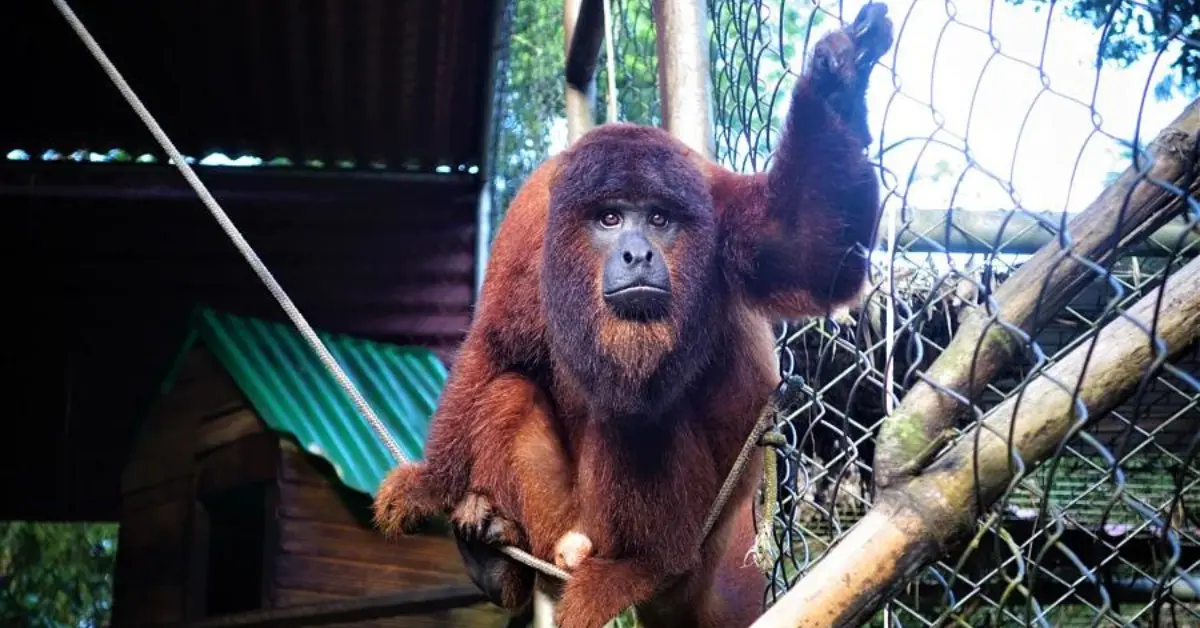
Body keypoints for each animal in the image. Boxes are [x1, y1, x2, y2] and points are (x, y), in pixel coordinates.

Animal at [372, 6, 892, 628]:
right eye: (610, 219)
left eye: (661, 219)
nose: (638, 254)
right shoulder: (533, 216)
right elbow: (496, 342)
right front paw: (431, 482)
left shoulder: (710, 195)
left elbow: (811, 254)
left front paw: (838, 80)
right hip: (569, 518)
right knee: (509, 391)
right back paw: (497, 556)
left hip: (698, 539)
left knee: (640, 411)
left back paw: (639, 568)